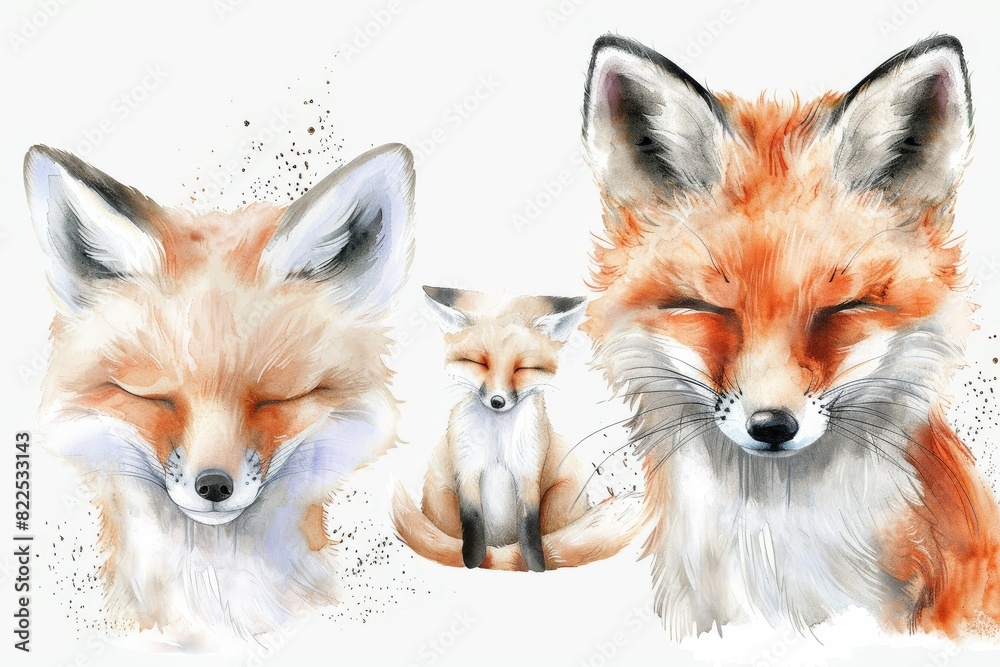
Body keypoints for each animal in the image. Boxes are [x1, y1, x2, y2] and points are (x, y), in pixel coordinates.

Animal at [392, 287, 642, 571]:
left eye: (523, 367)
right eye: (479, 363)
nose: (497, 401)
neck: (498, 441)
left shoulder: (528, 472)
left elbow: (529, 527)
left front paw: (536, 565)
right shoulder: (466, 471)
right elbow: (472, 521)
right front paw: (473, 559)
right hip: (441, 499)